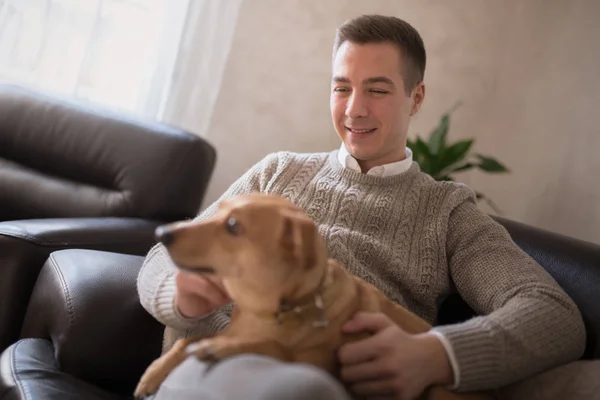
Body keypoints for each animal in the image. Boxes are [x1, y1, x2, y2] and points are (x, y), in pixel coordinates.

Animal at [135, 194, 492, 400]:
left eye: (234, 225)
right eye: (218, 212)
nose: (161, 233)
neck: (268, 311)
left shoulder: (326, 367)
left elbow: (273, 347)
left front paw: (222, 348)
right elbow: (186, 341)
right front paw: (154, 372)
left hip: (439, 390)